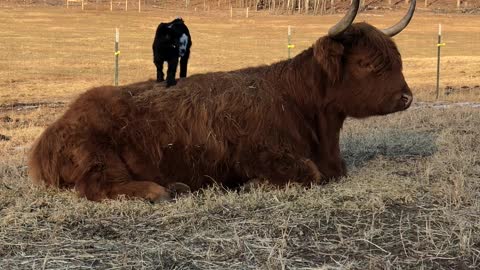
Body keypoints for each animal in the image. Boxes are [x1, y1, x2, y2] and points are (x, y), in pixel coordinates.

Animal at [28, 0, 414, 202]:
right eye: (367, 64)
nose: (407, 97)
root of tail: (52, 130)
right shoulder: (264, 155)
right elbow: (310, 173)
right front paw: (250, 184)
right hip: (98, 155)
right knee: (97, 186)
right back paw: (163, 189)